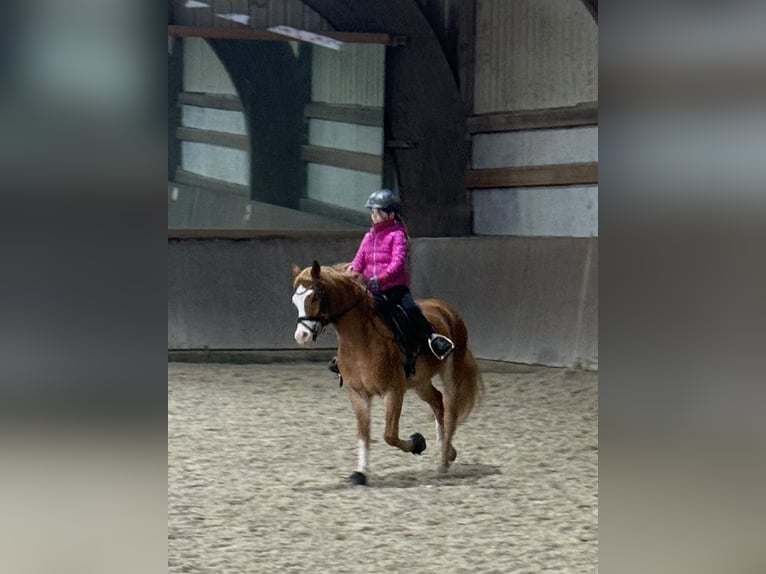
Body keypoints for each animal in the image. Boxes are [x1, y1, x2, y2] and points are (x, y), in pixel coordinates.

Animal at [292, 260, 484, 486]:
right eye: (295, 301)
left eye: (315, 296)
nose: (301, 336)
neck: (361, 342)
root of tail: (446, 309)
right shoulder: (357, 393)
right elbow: (364, 432)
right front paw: (360, 473)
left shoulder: (393, 392)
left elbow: (389, 435)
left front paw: (418, 442)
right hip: (419, 382)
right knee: (437, 401)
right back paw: (447, 450)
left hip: (451, 374)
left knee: (450, 410)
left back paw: (444, 462)